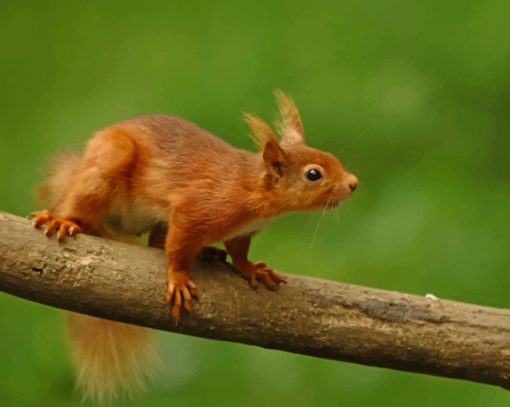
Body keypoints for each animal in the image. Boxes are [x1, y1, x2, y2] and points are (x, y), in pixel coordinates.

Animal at [31, 91, 358, 400]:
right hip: (108, 165)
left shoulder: (242, 231)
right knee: (85, 205)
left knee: (155, 243)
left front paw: (252, 269)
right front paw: (178, 278)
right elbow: (178, 248)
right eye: (313, 174)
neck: (252, 188)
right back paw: (63, 220)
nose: (354, 183)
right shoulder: (195, 209)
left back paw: (208, 253)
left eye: (330, 156)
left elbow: (239, 252)